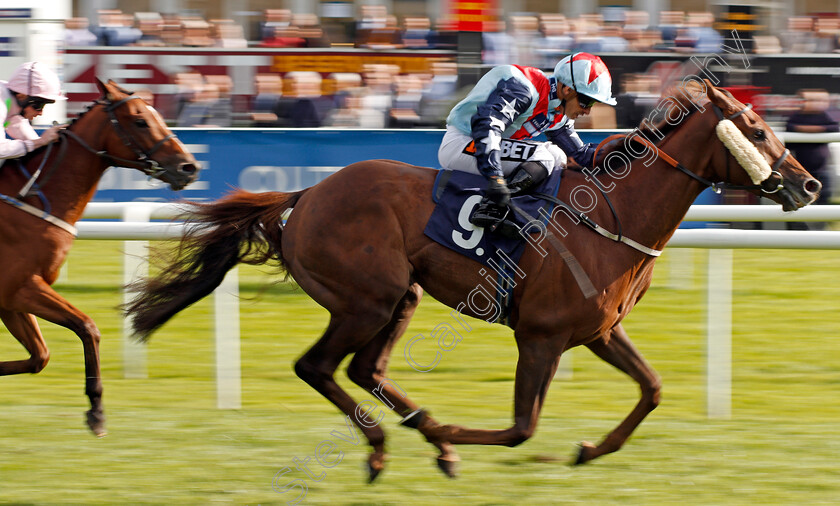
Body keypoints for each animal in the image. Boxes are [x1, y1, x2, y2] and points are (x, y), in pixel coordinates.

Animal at [0, 79, 199, 434]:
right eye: (140, 120)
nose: (188, 167)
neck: (32, 197)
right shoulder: (22, 287)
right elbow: (87, 326)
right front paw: (97, 411)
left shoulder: (13, 297)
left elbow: (40, 356)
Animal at [126, 81, 820, 476]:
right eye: (756, 130)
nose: (810, 184)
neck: (612, 218)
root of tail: (307, 194)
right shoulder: (540, 337)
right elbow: (520, 428)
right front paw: (459, 435)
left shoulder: (597, 332)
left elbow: (651, 390)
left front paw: (589, 450)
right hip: (365, 299)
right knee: (317, 367)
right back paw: (392, 445)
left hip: (398, 297)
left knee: (364, 370)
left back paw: (419, 436)